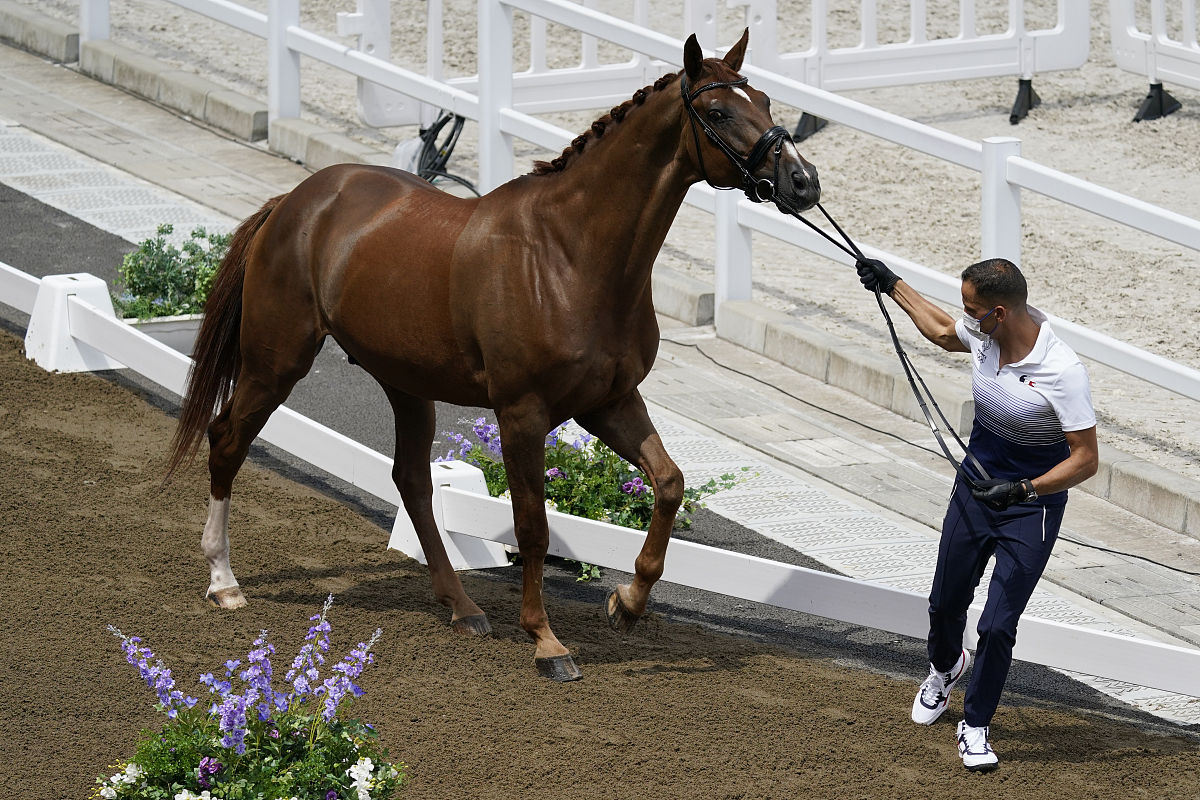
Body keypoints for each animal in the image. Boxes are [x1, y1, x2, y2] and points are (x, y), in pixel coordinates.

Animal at [166, 29, 820, 681]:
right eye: (719, 112)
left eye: (765, 100)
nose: (803, 182)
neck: (570, 255)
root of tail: (295, 202)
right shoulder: (522, 413)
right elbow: (533, 526)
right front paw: (546, 641)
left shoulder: (610, 402)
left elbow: (668, 484)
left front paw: (627, 603)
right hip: (274, 364)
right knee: (227, 441)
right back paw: (224, 582)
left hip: (407, 384)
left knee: (412, 481)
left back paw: (461, 606)